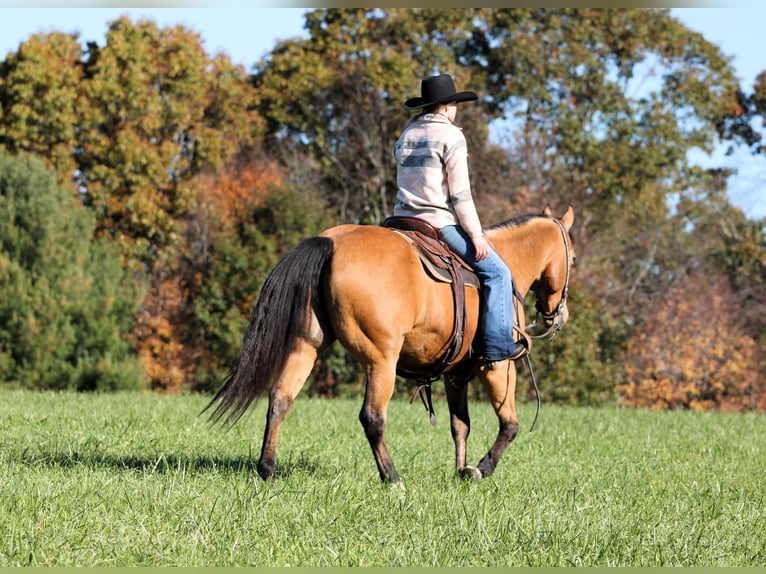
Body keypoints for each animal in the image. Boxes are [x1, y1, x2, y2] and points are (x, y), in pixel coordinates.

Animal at [204, 205, 575, 483]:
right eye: (572, 259)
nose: (559, 315)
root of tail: (330, 242)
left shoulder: (456, 375)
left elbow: (461, 426)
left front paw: (460, 470)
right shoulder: (498, 366)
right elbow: (509, 425)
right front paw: (480, 469)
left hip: (305, 345)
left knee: (280, 399)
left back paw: (267, 469)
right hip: (381, 361)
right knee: (372, 417)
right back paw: (392, 478)